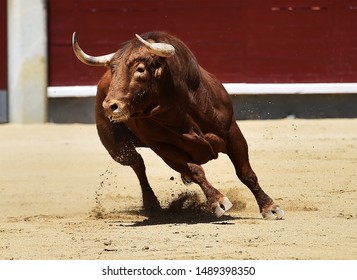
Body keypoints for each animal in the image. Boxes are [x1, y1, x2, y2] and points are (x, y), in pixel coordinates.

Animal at [71, 31, 284, 219]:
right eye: (113, 70)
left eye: (140, 69)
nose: (110, 106)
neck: (181, 110)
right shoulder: (164, 148)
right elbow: (196, 170)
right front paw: (218, 201)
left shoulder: (233, 133)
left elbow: (246, 173)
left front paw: (270, 207)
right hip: (118, 149)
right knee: (137, 164)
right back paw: (152, 205)